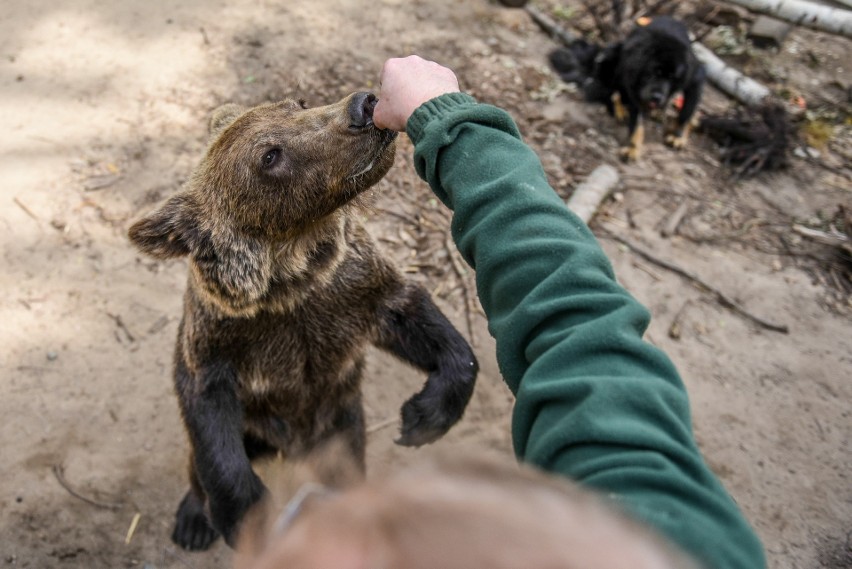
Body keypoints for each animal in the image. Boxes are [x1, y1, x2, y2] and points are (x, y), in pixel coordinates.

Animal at [552, 15, 704, 161]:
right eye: (652, 73)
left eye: (672, 78)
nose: (656, 97)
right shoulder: (634, 81)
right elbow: (636, 123)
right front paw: (632, 147)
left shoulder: (693, 77)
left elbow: (686, 112)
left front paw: (678, 136)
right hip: (611, 56)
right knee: (612, 91)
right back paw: (619, 108)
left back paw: (658, 111)